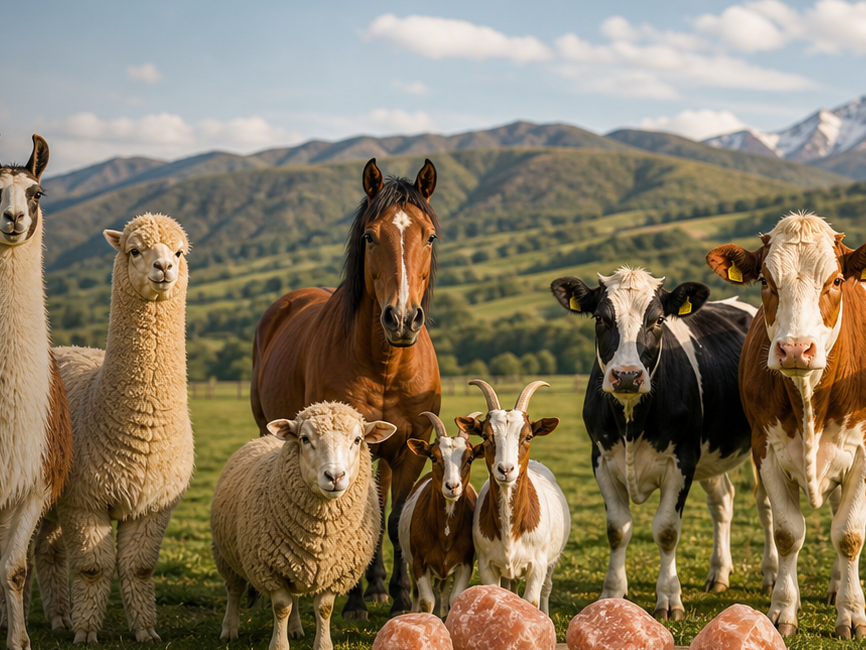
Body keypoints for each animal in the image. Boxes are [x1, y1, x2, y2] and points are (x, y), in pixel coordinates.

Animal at [250, 158, 442, 618]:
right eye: (370, 236)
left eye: (429, 236)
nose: (402, 319)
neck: (385, 365)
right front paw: (354, 603)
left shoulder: (410, 448)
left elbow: (392, 518)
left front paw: (398, 597)